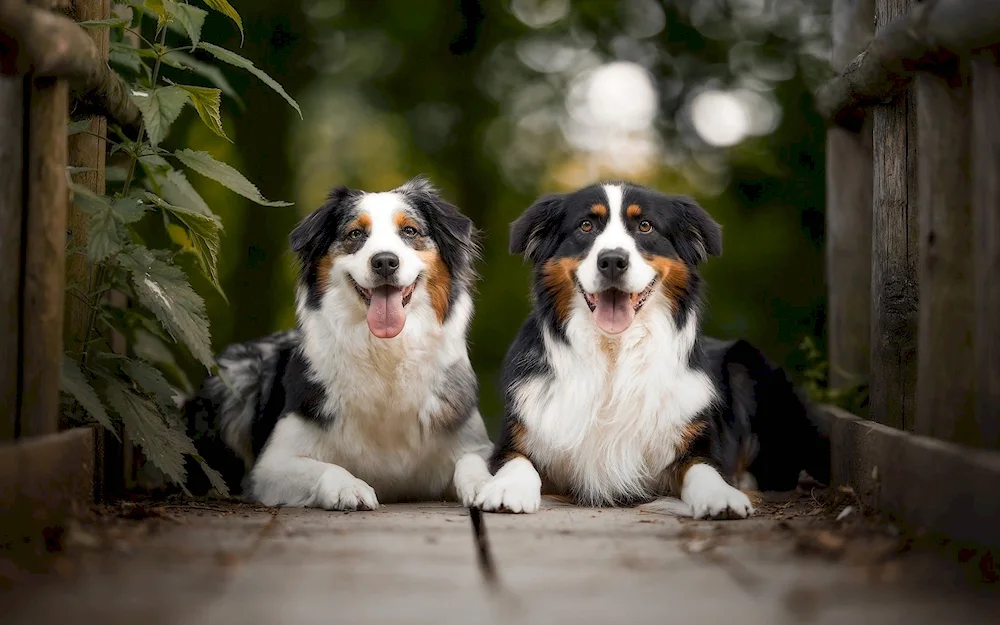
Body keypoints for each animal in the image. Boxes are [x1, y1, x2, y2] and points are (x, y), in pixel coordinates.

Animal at [185, 178, 496, 510]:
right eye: (355, 234)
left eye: (410, 231)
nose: (385, 261)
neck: (386, 354)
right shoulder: (271, 464)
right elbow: (327, 468)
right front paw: (350, 487)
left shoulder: (471, 440)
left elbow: (473, 462)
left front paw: (486, 484)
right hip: (237, 375)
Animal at [472, 180, 832, 516]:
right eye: (585, 226)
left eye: (645, 226)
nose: (612, 261)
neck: (613, 354)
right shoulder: (516, 436)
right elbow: (518, 461)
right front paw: (507, 489)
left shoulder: (696, 443)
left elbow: (705, 469)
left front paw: (722, 495)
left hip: (746, 364)